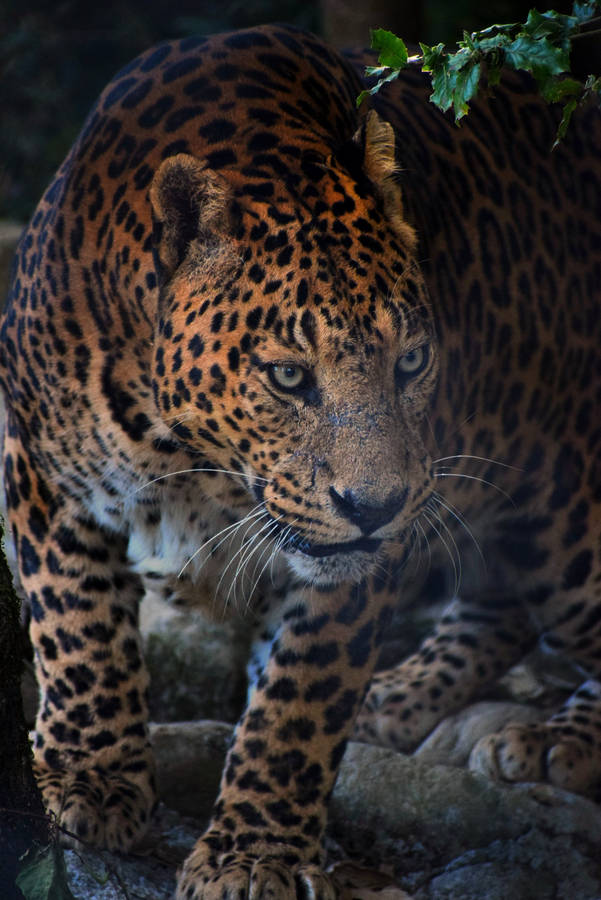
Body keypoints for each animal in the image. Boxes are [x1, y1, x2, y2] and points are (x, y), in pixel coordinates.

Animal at [1, 20, 600, 900]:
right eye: (288, 376)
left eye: (410, 364)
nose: (377, 508)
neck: (192, 458)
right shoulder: (42, 465)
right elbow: (76, 627)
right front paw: (90, 774)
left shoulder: (349, 568)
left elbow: (297, 703)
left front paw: (252, 855)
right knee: (495, 602)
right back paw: (399, 696)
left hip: (562, 516)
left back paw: (559, 739)